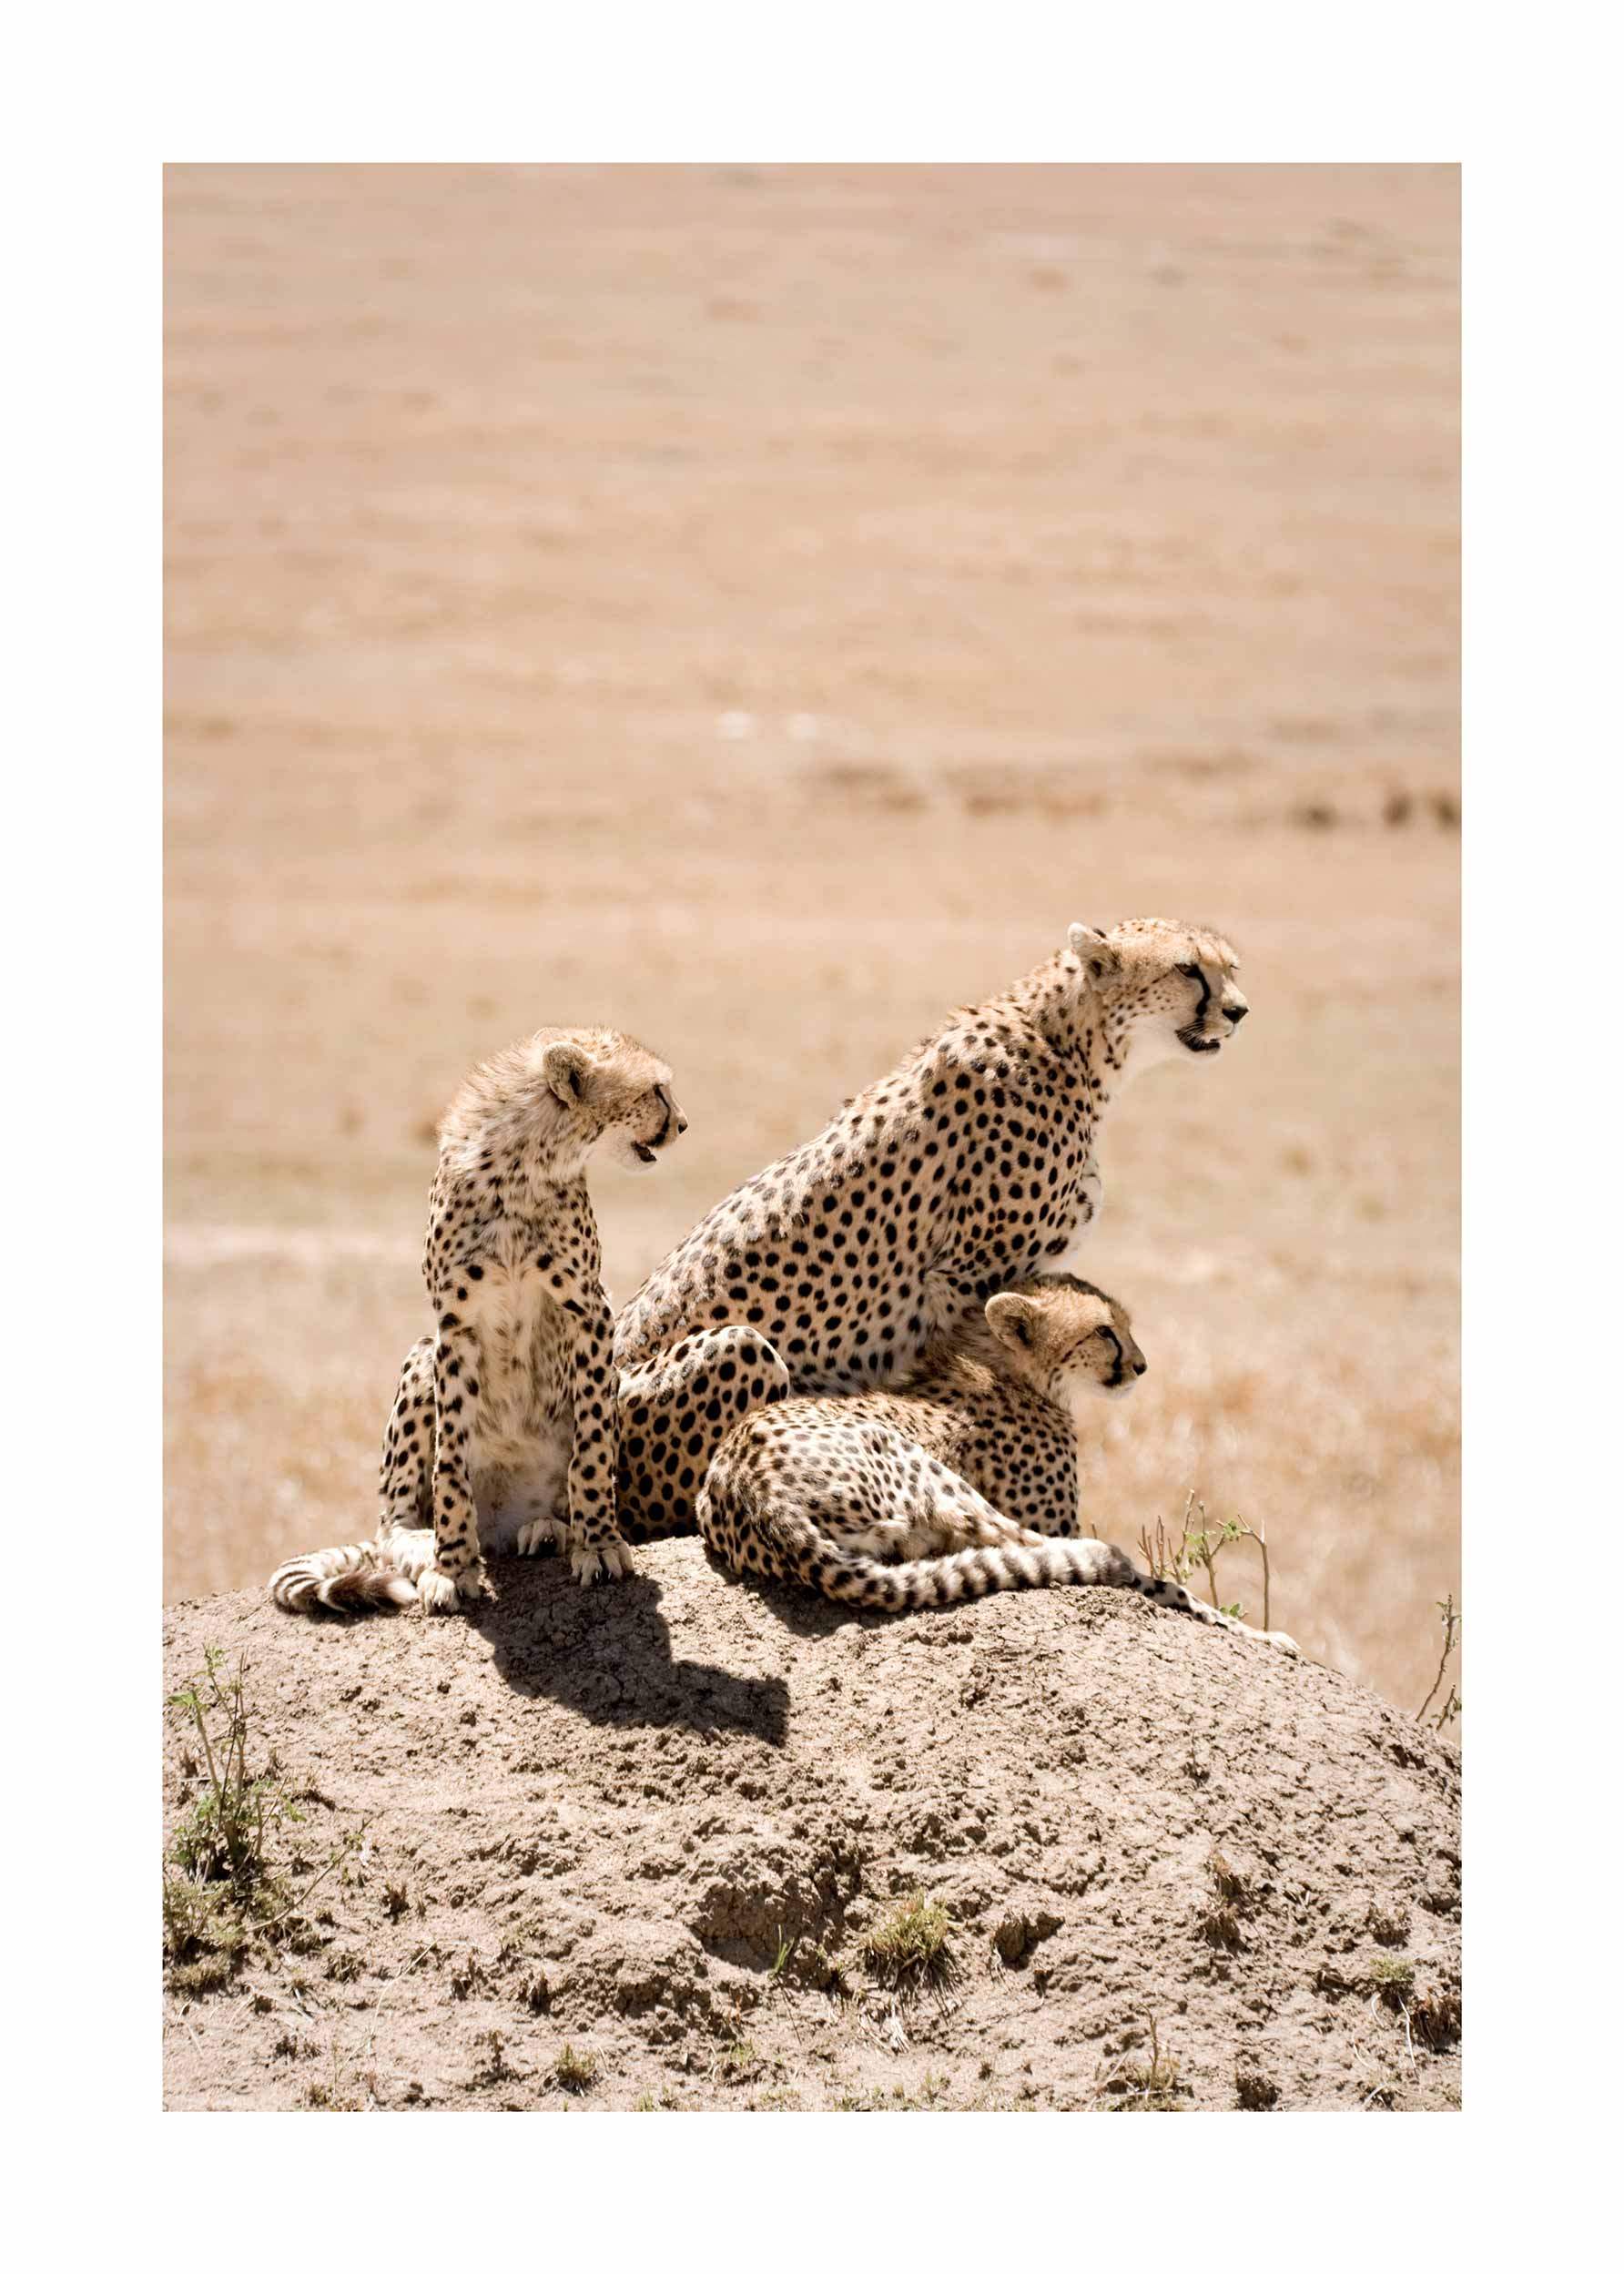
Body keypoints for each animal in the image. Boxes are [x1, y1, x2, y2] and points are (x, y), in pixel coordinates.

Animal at [268, 1025, 688, 1615]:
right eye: (656, 1091)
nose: (682, 1123)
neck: (525, 1164)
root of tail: (501, 1524)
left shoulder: (589, 1309)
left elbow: (590, 1448)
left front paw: (599, 1543)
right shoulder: (455, 1324)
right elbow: (450, 1461)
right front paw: (451, 1568)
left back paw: (549, 1528)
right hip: (421, 1357)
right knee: (388, 1521)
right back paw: (422, 1545)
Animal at [613, 917, 1250, 1541]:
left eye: (1230, 967)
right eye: (1187, 969)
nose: (1240, 1010)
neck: (1071, 1045)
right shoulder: (970, 1272)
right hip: (741, 1349)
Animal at [696, 1271, 1298, 1649]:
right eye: (1105, 1332)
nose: (1142, 1366)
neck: (1011, 1371)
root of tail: (751, 1491)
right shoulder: (1052, 1522)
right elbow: (1166, 1587)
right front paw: (1264, 1636)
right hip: (925, 1469)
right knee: (1054, 1553)